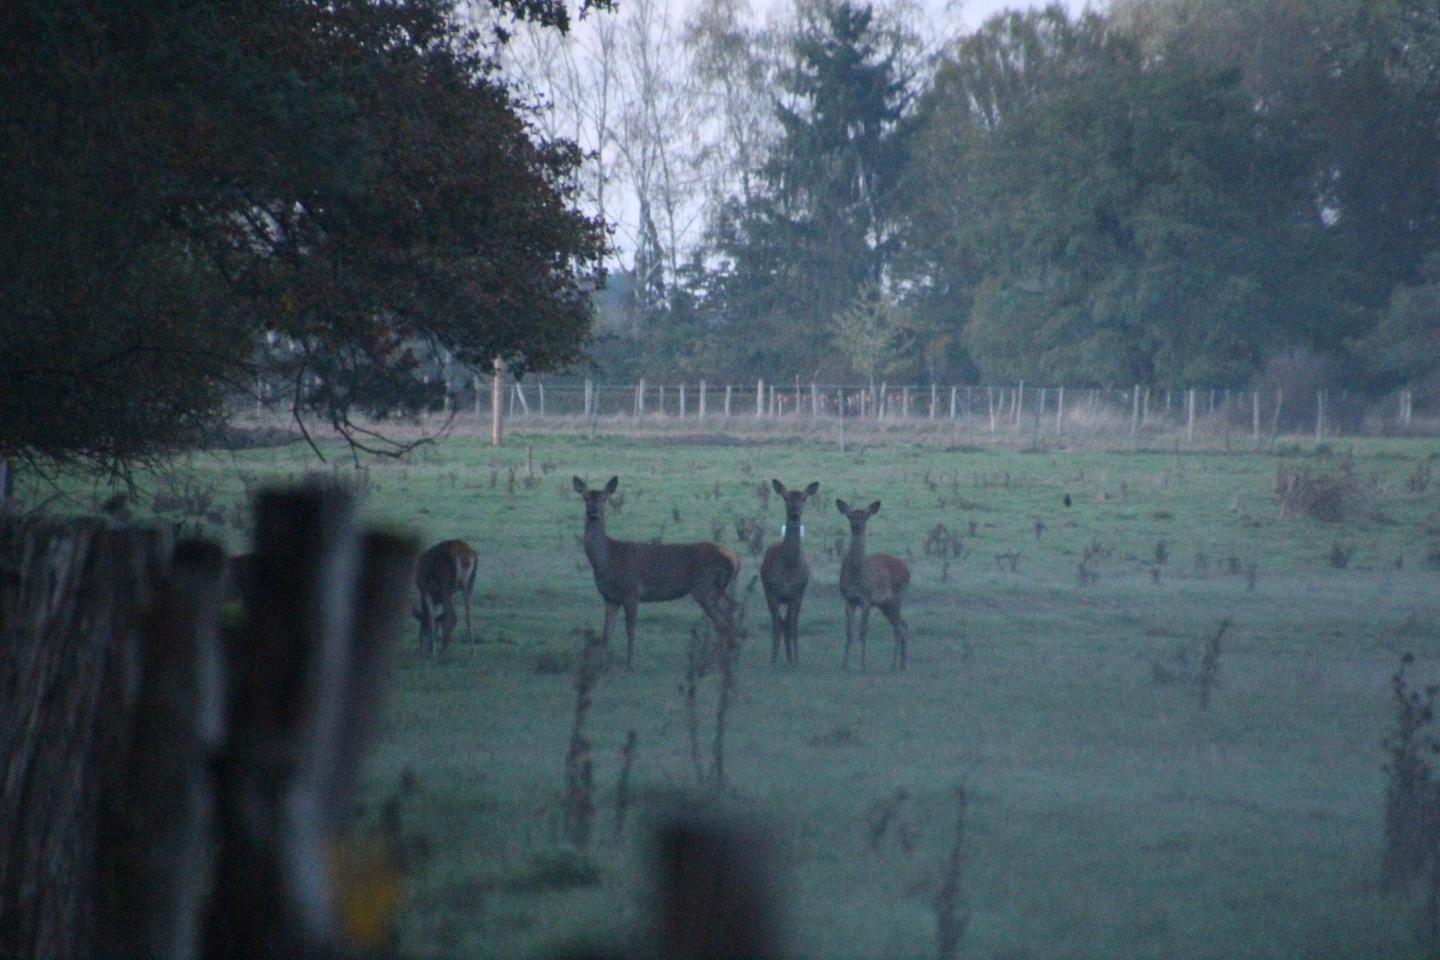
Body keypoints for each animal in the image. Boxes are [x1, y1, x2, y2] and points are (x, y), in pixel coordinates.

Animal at [570, 474, 737, 667]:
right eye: (585, 497)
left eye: (604, 498)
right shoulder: (610, 597)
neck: (607, 559)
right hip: (717, 590)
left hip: (705, 588)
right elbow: (607, 633)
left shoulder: (632, 590)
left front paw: (630, 664)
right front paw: (600, 662)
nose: (593, 513)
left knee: (724, 623)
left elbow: (630, 629)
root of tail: (735, 559)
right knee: (728, 619)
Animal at [760, 477, 817, 664]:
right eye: (785, 498)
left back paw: (791, 657)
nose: (794, 514)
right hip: (768, 590)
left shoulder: (797, 592)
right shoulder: (773, 591)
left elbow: (793, 626)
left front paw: (796, 660)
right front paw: (772, 659)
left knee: (789, 622)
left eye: (804, 498)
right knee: (779, 622)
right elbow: (777, 625)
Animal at [835, 500, 910, 673]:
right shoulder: (848, 600)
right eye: (850, 516)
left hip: (897, 596)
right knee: (902, 625)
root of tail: (907, 569)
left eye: (865, 516)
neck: (856, 576)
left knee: (899, 628)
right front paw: (844, 664)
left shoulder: (866, 599)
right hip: (885, 604)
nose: (857, 524)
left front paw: (863, 665)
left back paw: (895, 664)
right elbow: (849, 633)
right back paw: (901, 664)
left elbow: (863, 632)